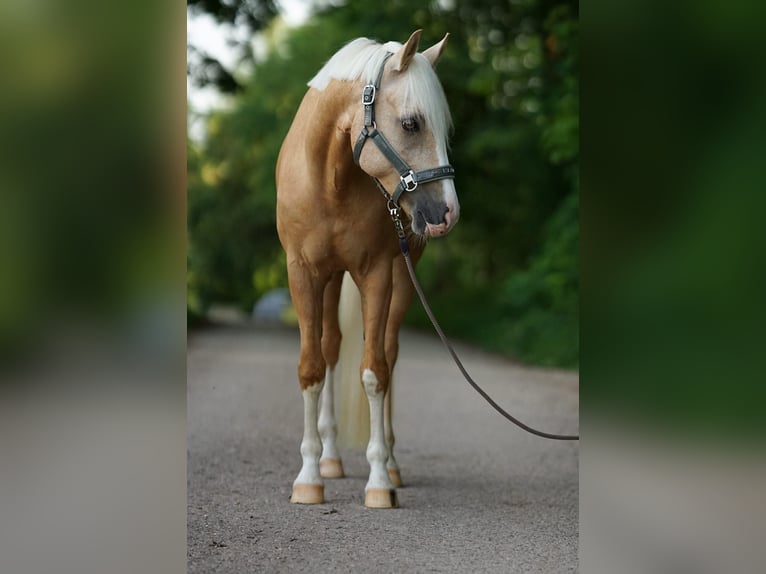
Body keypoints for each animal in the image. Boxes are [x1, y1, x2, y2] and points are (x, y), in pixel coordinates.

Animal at [280, 29, 460, 510]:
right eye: (412, 123)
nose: (448, 213)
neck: (331, 179)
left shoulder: (378, 274)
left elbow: (374, 372)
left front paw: (379, 481)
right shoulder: (303, 274)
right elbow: (312, 368)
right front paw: (308, 479)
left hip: (401, 280)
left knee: (388, 353)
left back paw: (392, 466)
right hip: (329, 282)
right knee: (330, 348)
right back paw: (329, 460)